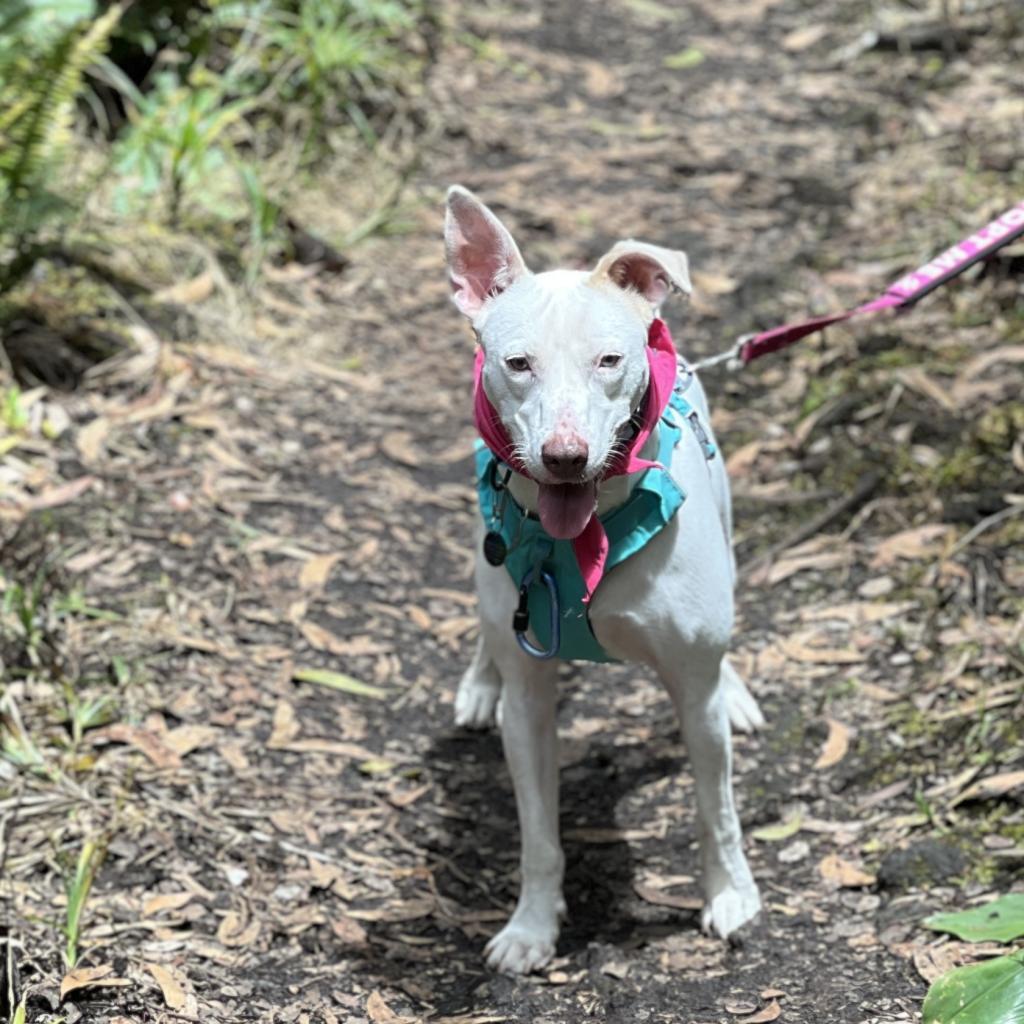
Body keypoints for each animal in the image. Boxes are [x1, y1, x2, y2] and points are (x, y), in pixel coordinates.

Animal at [444, 186, 765, 974]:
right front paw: (531, 926)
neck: (587, 534)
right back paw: (479, 682)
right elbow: (538, 835)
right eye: (518, 363)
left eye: (609, 361)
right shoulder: (529, 707)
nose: (565, 456)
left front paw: (731, 895)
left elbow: (715, 809)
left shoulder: (693, 694)